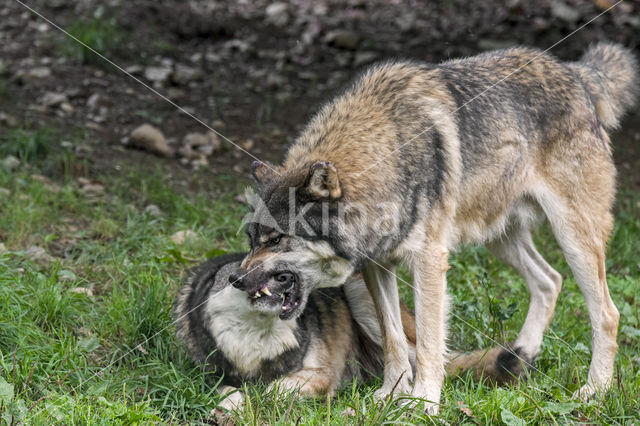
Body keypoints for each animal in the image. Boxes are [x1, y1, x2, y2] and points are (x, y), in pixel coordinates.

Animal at [174, 253, 510, 410]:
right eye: (240, 275)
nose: (287, 277)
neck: (257, 342)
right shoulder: (212, 377)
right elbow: (227, 392)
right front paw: (233, 405)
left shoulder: (322, 374)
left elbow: (272, 391)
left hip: (361, 295)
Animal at [229, 44, 636, 412]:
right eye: (252, 239)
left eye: (278, 239)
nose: (235, 279)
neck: (387, 156)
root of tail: (575, 74)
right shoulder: (377, 266)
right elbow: (393, 339)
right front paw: (390, 395)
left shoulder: (428, 261)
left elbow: (426, 341)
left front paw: (423, 400)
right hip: (500, 240)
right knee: (549, 280)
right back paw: (521, 358)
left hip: (574, 238)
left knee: (607, 314)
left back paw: (595, 390)